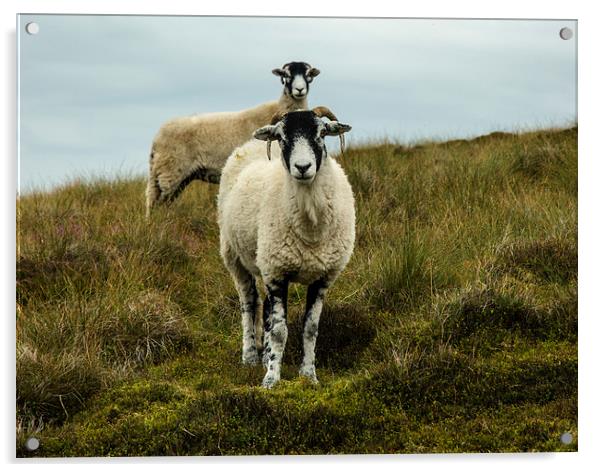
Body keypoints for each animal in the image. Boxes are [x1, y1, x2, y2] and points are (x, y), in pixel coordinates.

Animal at [146, 61, 322, 216]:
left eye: (308, 75)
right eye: (286, 75)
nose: (299, 89)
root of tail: (157, 137)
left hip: (171, 174)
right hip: (170, 171)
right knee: (157, 201)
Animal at [216, 109, 354, 390]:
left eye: (322, 132)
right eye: (281, 137)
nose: (302, 167)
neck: (311, 228)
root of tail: (250, 144)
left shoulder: (322, 278)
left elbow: (310, 329)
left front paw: (309, 375)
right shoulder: (277, 273)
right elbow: (280, 331)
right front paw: (271, 379)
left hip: (265, 262)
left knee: (267, 309)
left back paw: (265, 354)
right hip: (235, 257)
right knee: (249, 303)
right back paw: (250, 356)